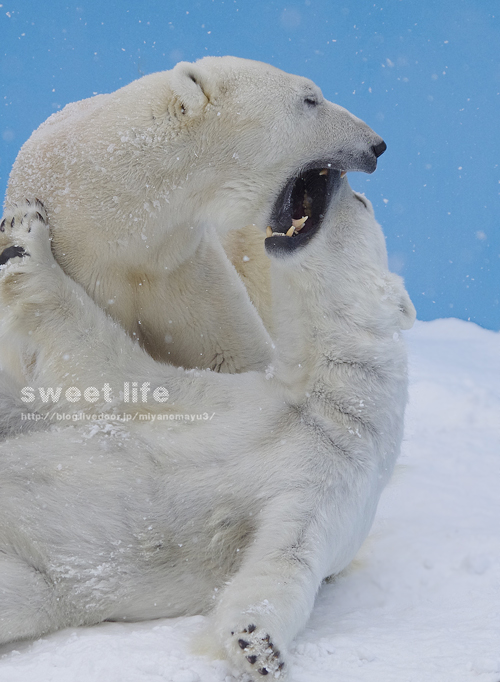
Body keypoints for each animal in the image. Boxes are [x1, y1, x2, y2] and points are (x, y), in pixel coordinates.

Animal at [0, 147, 412, 676]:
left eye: (360, 202)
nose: (334, 177)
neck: (324, 401)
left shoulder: (338, 478)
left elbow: (289, 555)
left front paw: (257, 645)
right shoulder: (232, 403)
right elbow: (117, 372)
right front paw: (27, 232)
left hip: (33, 576)